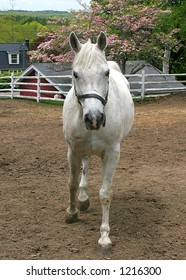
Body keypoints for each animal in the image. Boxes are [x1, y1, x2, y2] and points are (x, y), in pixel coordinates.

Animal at [63, 31, 134, 253]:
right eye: (75, 74)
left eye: (106, 74)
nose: (94, 119)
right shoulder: (73, 151)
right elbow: (72, 182)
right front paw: (72, 212)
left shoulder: (111, 154)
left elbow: (105, 194)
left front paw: (104, 237)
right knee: (86, 165)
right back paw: (83, 199)